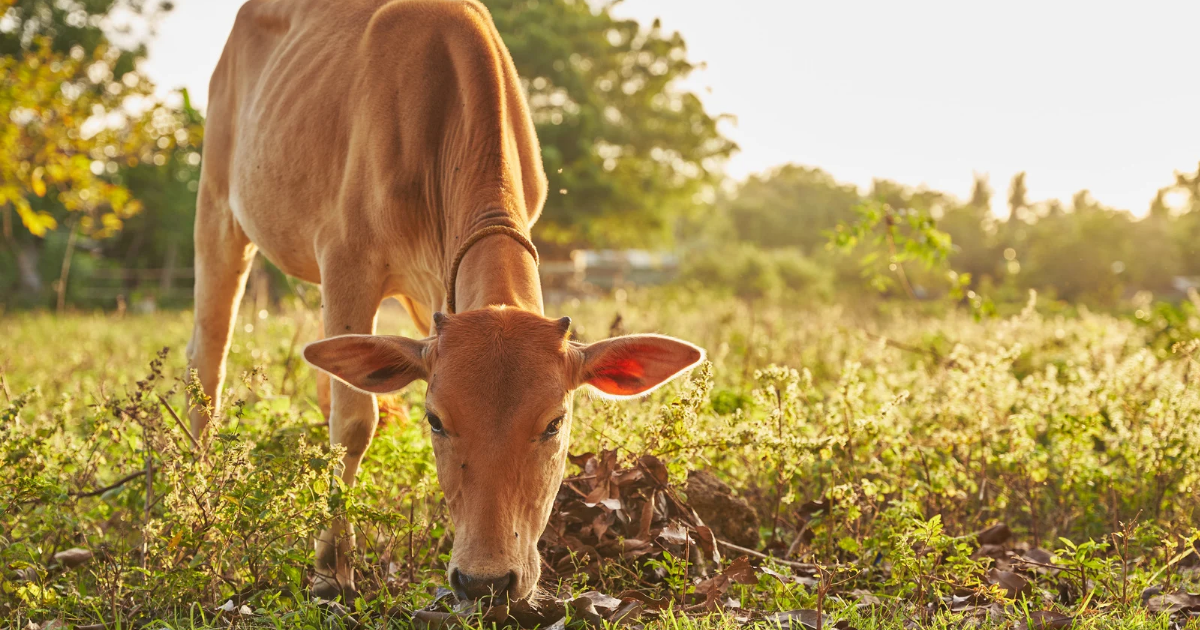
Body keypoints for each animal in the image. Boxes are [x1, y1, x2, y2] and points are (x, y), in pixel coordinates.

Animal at [182, 0, 700, 602]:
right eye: (436, 419)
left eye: (555, 422)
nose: (485, 581)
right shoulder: (346, 259)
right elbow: (354, 421)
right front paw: (331, 568)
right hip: (218, 206)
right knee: (208, 362)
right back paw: (199, 510)